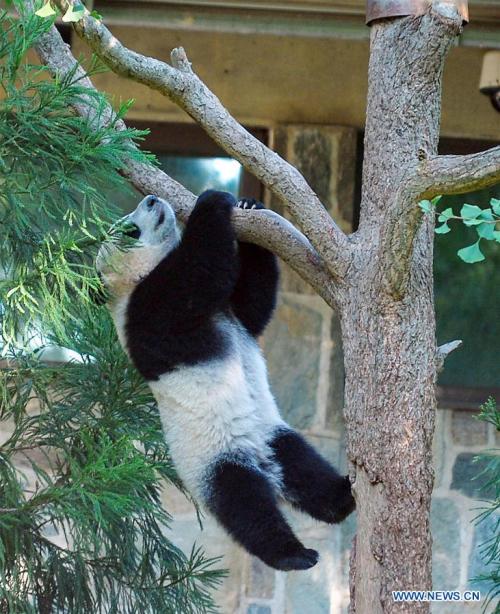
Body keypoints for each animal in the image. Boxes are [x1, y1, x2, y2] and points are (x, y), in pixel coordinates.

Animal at [95, 191, 356, 572]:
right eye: (130, 231)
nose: (152, 199)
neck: (126, 284)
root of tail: (263, 466)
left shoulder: (233, 314)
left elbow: (253, 303)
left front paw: (249, 206)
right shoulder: (145, 313)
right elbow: (197, 278)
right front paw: (211, 201)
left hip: (271, 433)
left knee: (304, 468)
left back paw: (341, 500)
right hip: (215, 458)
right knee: (245, 506)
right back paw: (292, 554)